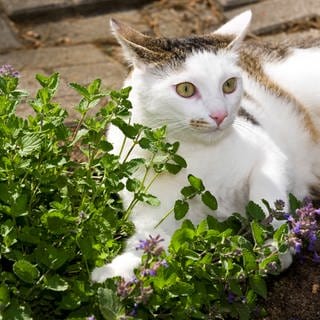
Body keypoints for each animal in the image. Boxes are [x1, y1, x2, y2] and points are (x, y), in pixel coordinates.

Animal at [90, 10, 320, 282]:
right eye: (186, 89)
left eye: (229, 85)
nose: (220, 115)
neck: (195, 155)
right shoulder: (156, 214)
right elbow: (147, 244)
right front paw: (111, 273)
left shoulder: (268, 151)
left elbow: (267, 194)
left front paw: (274, 246)